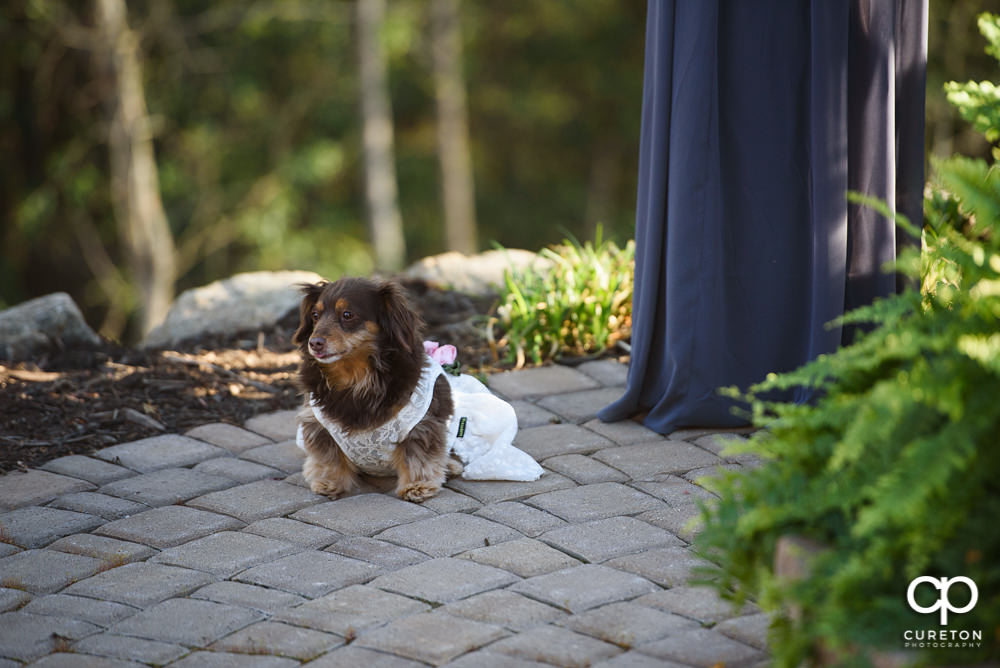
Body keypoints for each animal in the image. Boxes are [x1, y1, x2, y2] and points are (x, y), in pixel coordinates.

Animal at [290, 276, 460, 500]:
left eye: (347, 314)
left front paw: (417, 485)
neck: (355, 378)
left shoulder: (422, 425)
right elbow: (328, 457)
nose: (314, 343)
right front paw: (329, 481)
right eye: (315, 315)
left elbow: (418, 456)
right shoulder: (319, 425)